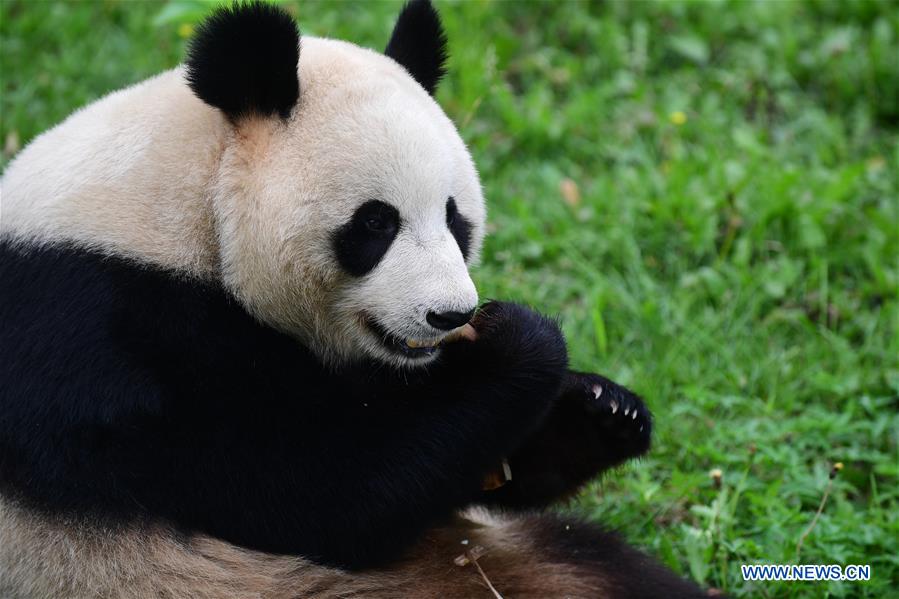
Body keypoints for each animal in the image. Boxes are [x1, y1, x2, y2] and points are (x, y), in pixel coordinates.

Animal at [0, 1, 711, 597]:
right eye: (375, 223)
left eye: (455, 217)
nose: (450, 315)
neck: (184, 200)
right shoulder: (109, 338)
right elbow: (324, 488)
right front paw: (523, 345)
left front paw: (604, 408)